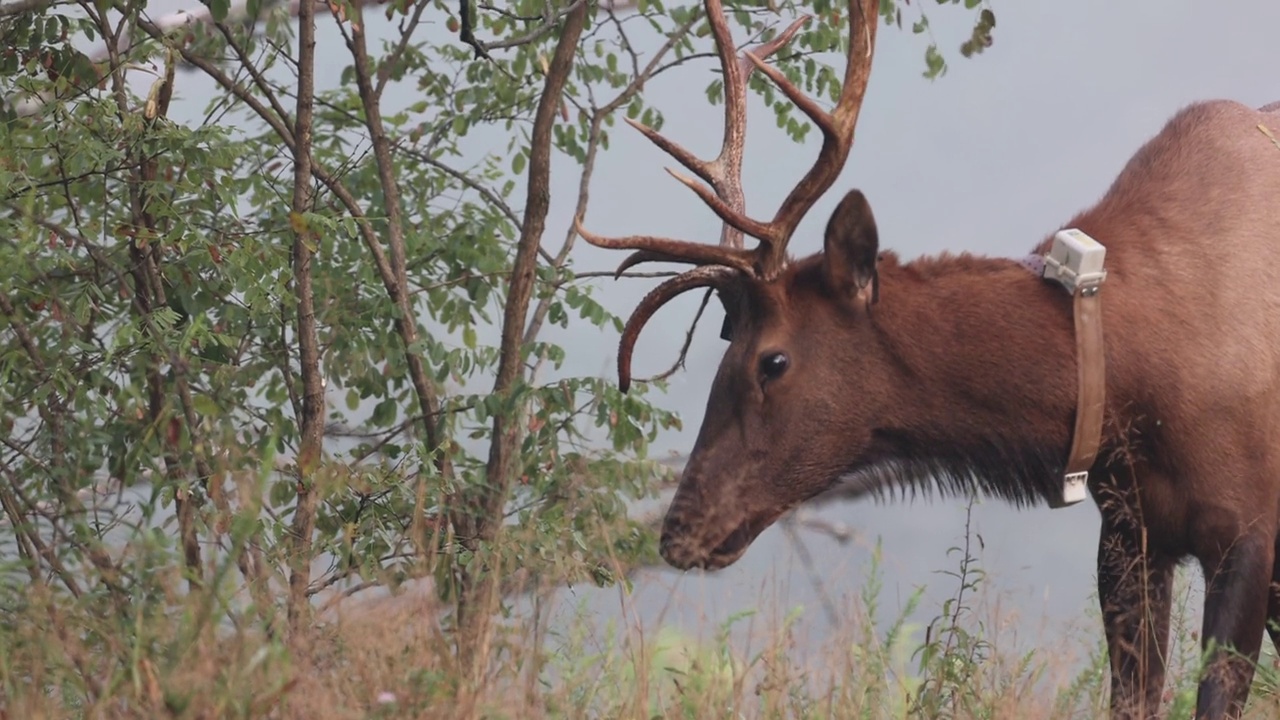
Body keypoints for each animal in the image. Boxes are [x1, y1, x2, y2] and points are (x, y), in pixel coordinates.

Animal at [583, 0, 1280, 712]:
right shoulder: (1128, 534)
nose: (678, 531)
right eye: (725, 345)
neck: (1131, 372)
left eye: (772, 361)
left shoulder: (1250, 530)